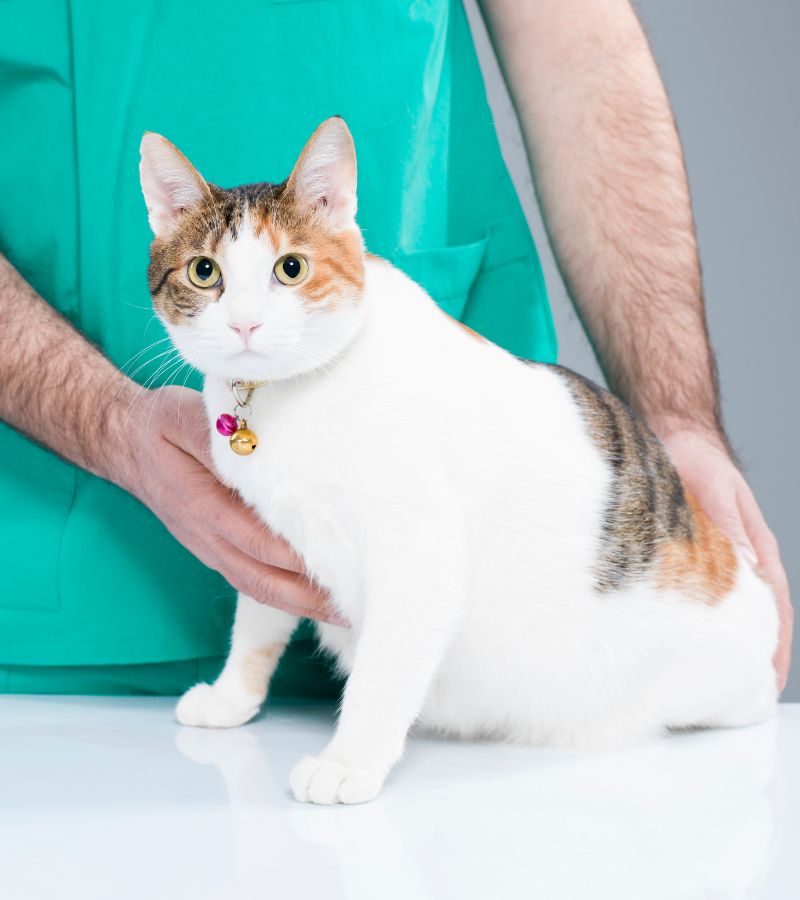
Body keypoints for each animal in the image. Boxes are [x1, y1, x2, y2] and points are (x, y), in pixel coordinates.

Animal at [138, 118, 776, 800]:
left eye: (291, 268)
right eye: (204, 272)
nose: (245, 325)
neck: (290, 398)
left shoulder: (417, 552)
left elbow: (383, 669)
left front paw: (350, 761)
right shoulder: (269, 537)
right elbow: (257, 622)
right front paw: (234, 695)